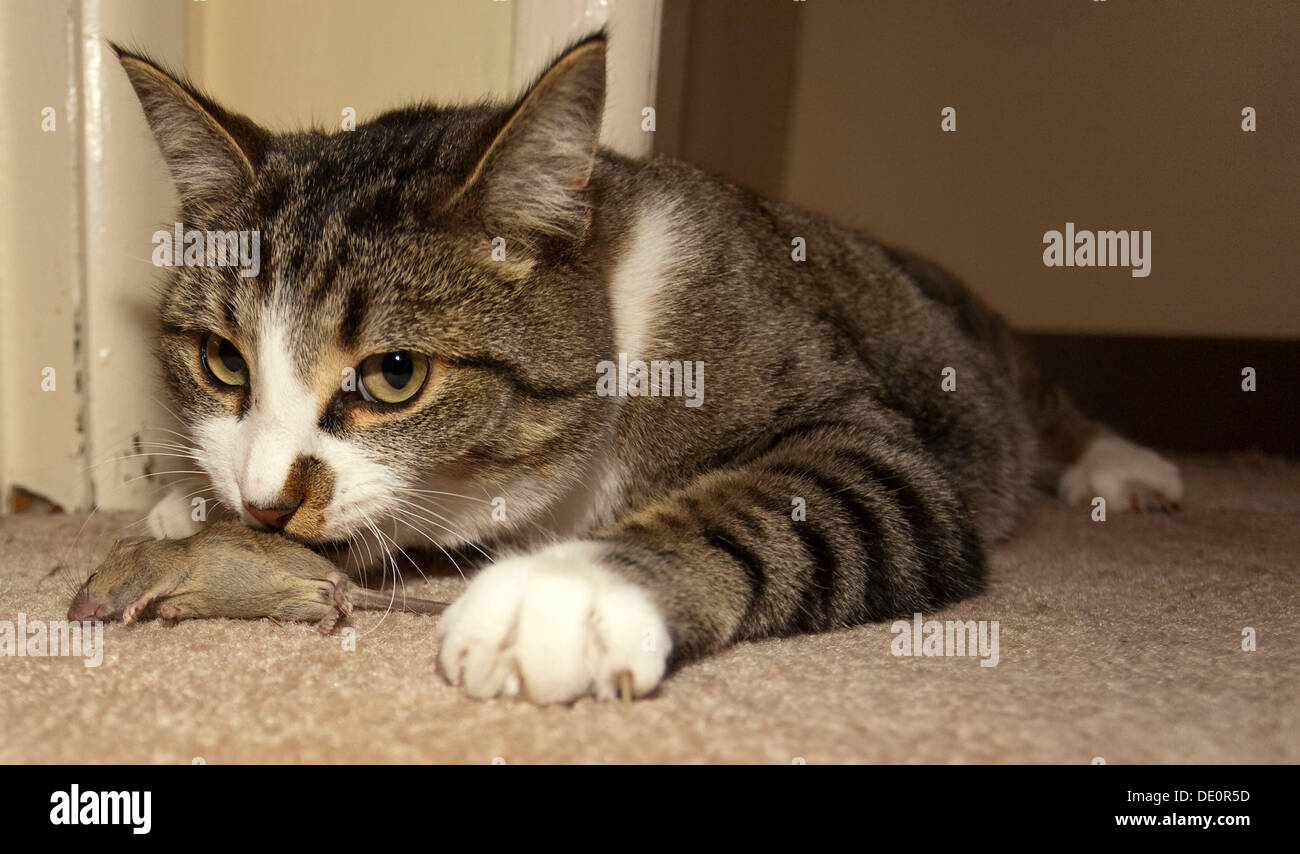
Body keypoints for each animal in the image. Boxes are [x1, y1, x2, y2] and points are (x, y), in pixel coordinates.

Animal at [116, 33, 1185, 701]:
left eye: (393, 374)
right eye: (221, 360)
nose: (265, 506)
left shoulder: (866, 436)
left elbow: (788, 494)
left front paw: (563, 594)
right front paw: (186, 505)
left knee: (1038, 399)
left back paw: (1123, 465)